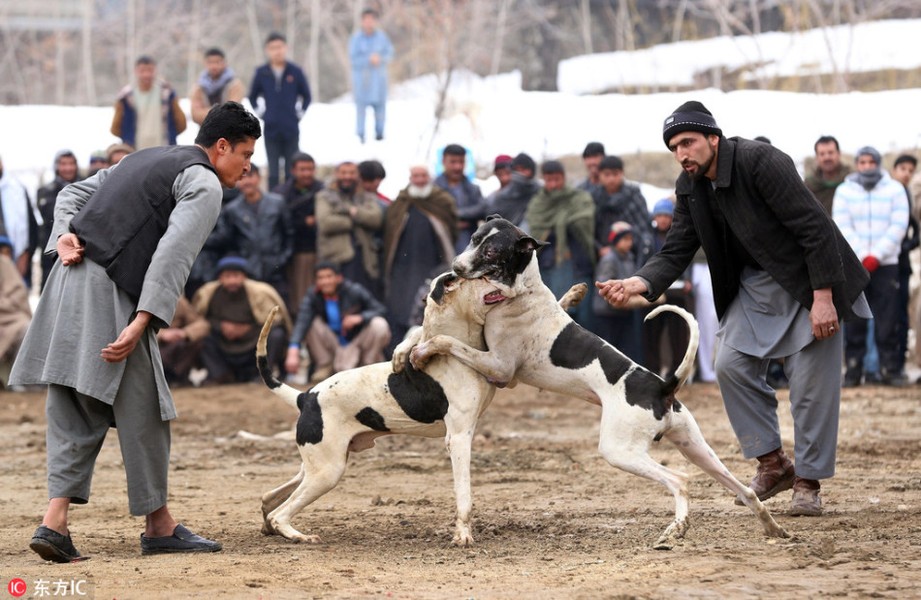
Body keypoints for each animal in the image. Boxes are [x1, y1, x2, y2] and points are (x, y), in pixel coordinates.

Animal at [253, 274, 584, 548]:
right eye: (485, 277)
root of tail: (305, 396)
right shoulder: (459, 437)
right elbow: (464, 497)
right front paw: (462, 536)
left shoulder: (505, 375)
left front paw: (572, 295)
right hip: (327, 471)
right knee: (282, 512)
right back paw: (297, 535)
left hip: (318, 464)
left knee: (271, 498)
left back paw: (270, 525)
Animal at [406, 218, 788, 552]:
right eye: (473, 238)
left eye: (490, 251)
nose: (455, 267)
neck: (522, 292)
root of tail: (664, 386)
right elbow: (562, 301)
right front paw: (574, 293)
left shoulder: (500, 369)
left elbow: (445, 340)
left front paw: (421, 351)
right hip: (697, 448)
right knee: (745, 491)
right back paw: (772, 528)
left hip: (621, 451)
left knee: (680, 480)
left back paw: (676, 529)